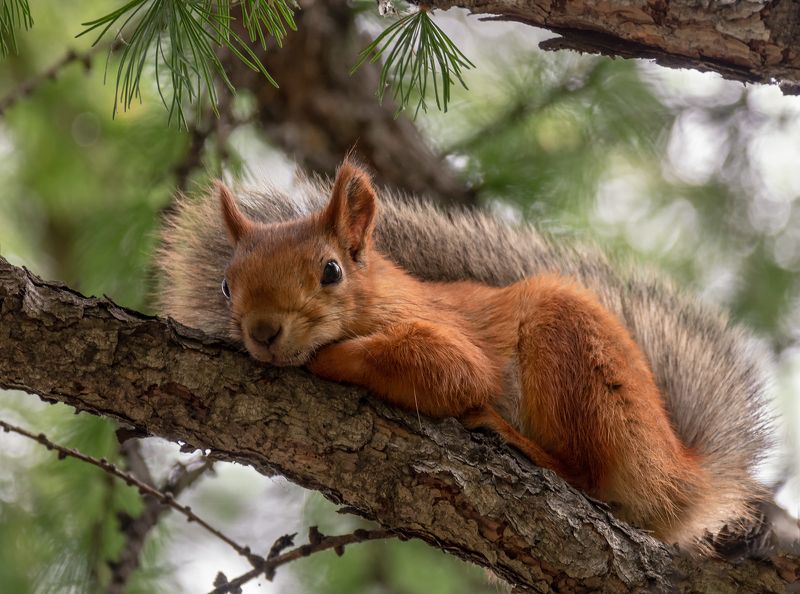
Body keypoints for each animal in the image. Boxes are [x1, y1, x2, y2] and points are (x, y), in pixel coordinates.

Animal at [156, 159, 773, 553]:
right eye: (226, 286)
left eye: (331, 271)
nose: (262, 331)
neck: (379, 296)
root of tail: (679, 472)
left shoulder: (452, 340)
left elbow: (449, 373)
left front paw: (324, 358)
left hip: (570, 353)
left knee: (586, 476)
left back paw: (513, 438)